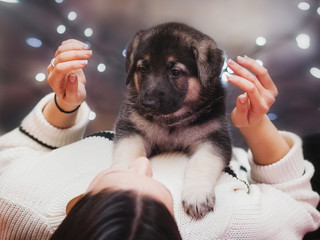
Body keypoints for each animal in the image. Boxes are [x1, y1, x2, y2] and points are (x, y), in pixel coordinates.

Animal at [114, 23, 231, 219]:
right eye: (143, 69)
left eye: (175, 72)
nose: (147, 104)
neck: (172, 120)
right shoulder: (131, 129)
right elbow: (129, 154)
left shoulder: (214, 139)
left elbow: (201, 163)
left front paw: (197, 194)